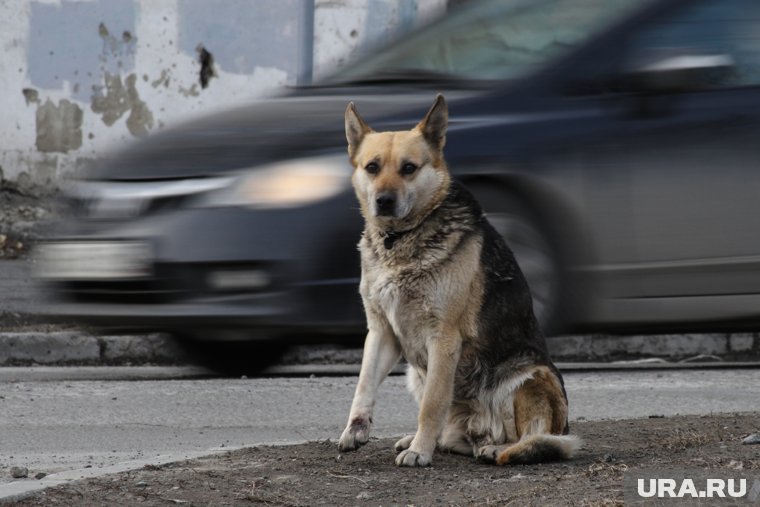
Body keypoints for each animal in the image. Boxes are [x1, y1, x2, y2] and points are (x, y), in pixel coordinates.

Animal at [336, 95, 580, 468]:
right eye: (372, 167)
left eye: (409, 168)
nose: (384, 202)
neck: (400, 242)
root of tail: (479, 428)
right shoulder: (381, 333)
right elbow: (363, 386)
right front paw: (357, 429)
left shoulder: (443, 337)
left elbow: (432, 404)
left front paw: (420, 451)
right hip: (416, 375)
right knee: (459, 438)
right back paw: (448, 441)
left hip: (533, 376)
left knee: (533, 438)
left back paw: (493, 448)